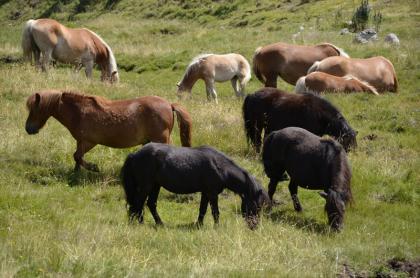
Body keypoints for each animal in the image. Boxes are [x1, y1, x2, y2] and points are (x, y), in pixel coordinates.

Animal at [24, 90, 192, 170]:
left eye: (34, 109)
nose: (28, 128)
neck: (80, 112)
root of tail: (169, 104)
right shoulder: (80, 141)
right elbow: (77, 158)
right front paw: (75, 173)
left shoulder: (89, 142)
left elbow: (77, 156)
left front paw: (93, 168)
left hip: (161, 139)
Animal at [120, 142, 270, 229]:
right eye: (257, 206)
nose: (254, 226)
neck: (221, 167)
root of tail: (134, 154)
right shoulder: (212, 193)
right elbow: (215, 212)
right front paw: (217, 227)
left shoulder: (206, 193)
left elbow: (202, 210)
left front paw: (199, 225)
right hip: (147, 185)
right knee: (138, 203)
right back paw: (138, 224)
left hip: (155, 186)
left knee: (150, 204)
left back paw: (159, 224)